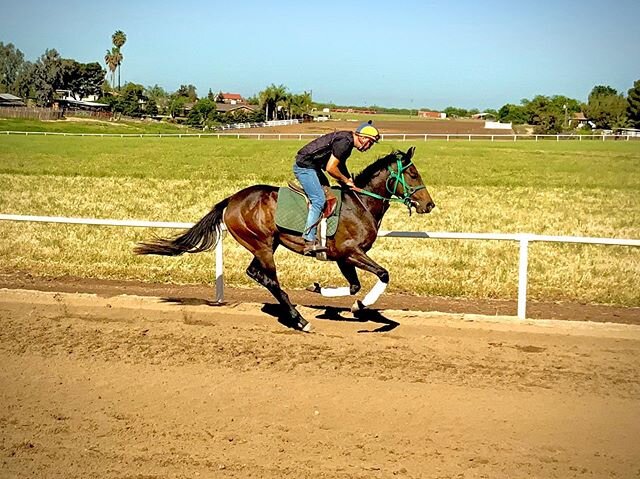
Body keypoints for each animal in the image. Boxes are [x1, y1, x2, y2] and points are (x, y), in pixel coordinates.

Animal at [135, 146, 436, 332]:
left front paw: (325, 293)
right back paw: (300, 320)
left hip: (268, 244)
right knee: (268, 279)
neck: (361, 203)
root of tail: (231, 200)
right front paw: (360, 306)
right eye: (413, 174)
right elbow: (383, 274)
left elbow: (353, 286)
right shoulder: (351, 252)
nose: (429, 204)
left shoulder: (342, 257)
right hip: (261, 243)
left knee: (256, 273)